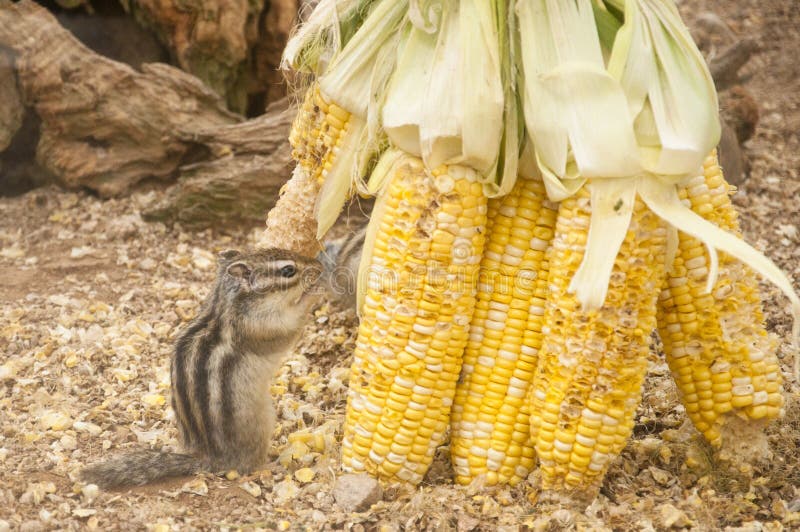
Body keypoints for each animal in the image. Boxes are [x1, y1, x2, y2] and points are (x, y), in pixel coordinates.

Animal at [82, 247, 324, 488]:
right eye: (288, 270)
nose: (319, 266)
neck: (228, 304)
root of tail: (209, 458)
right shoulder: (264, 327)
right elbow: (291, 327)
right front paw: (313, 292)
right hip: (261, 422)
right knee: (251, 464)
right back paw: (272, 466)